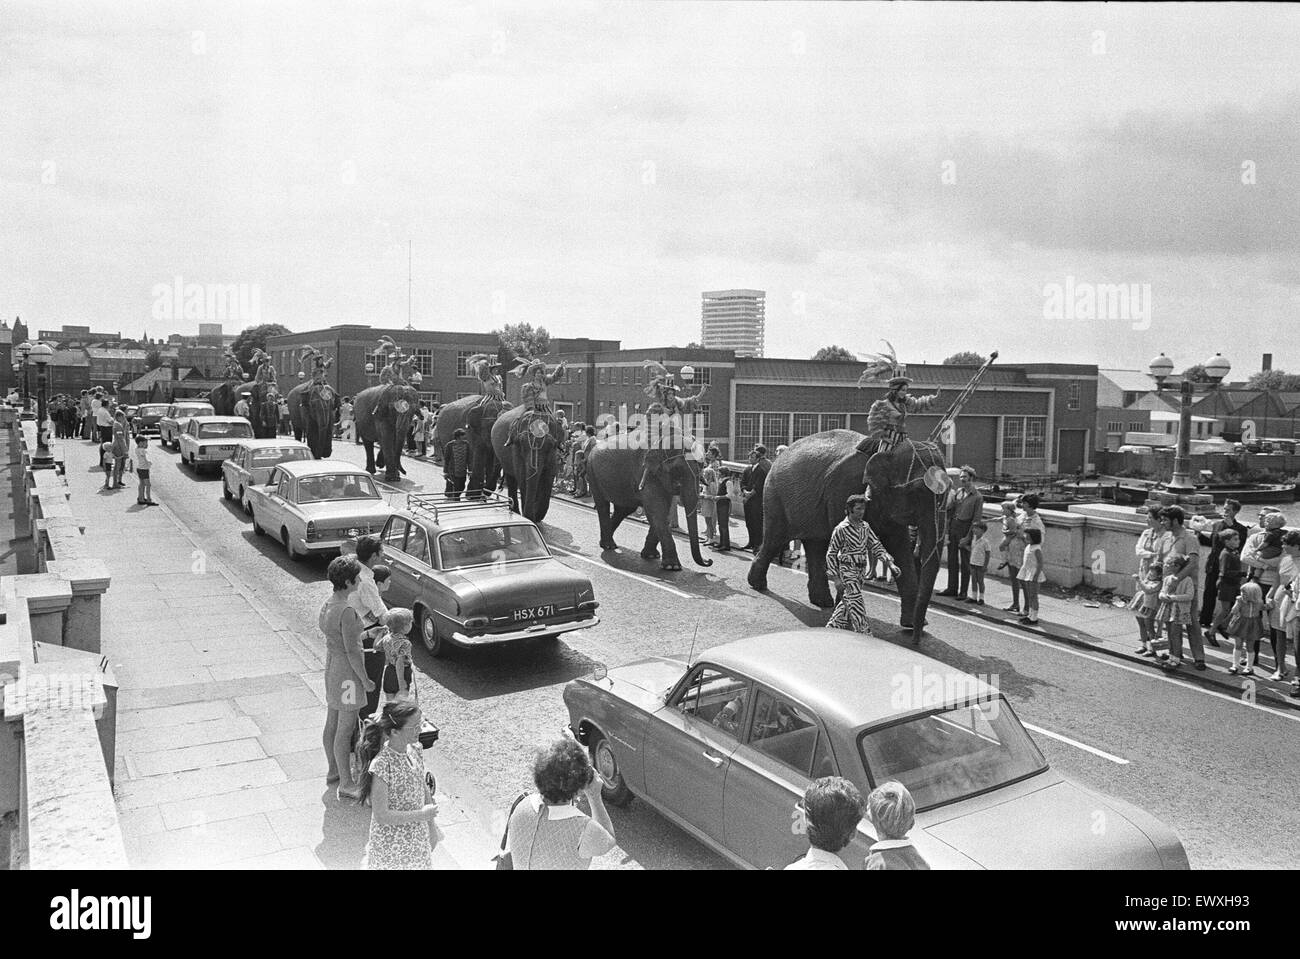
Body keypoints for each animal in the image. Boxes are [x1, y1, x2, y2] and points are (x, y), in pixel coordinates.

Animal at [585, 436, 717, 571]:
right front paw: (672, 567)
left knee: (624, 510)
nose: (709, 561)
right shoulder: (646, 472)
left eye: (701, 466)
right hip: (592, 472)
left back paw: (605, 542)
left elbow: (662, 512)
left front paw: (651, 556)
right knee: (603, 506)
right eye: (677, 470)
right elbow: (657, 511)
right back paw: (609, 546)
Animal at [748, 428, 951, 639]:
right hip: (774, 498)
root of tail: (779, 457)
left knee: (815, 544)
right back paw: (758, 585)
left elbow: (900, 548)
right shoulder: (843, 490)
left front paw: (912, 624)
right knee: (775, 540)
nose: (916, 640)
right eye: (917, 491)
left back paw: (822, 602)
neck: (887, 449)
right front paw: (847, 618)